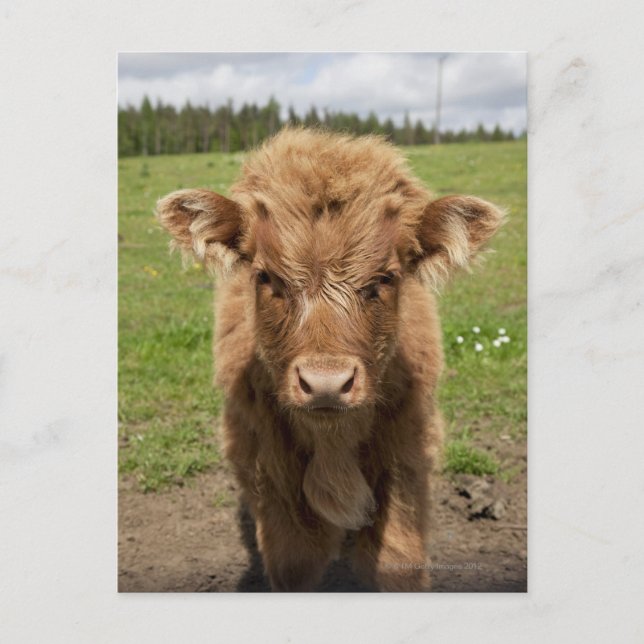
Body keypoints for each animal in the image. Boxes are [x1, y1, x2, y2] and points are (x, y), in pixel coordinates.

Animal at [156, 127, 503, 591]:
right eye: (266, 276)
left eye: (386, 277)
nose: (326, 384)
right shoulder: (271, 473)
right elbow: (294, 563)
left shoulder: (407, 458)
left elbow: (396, 561)